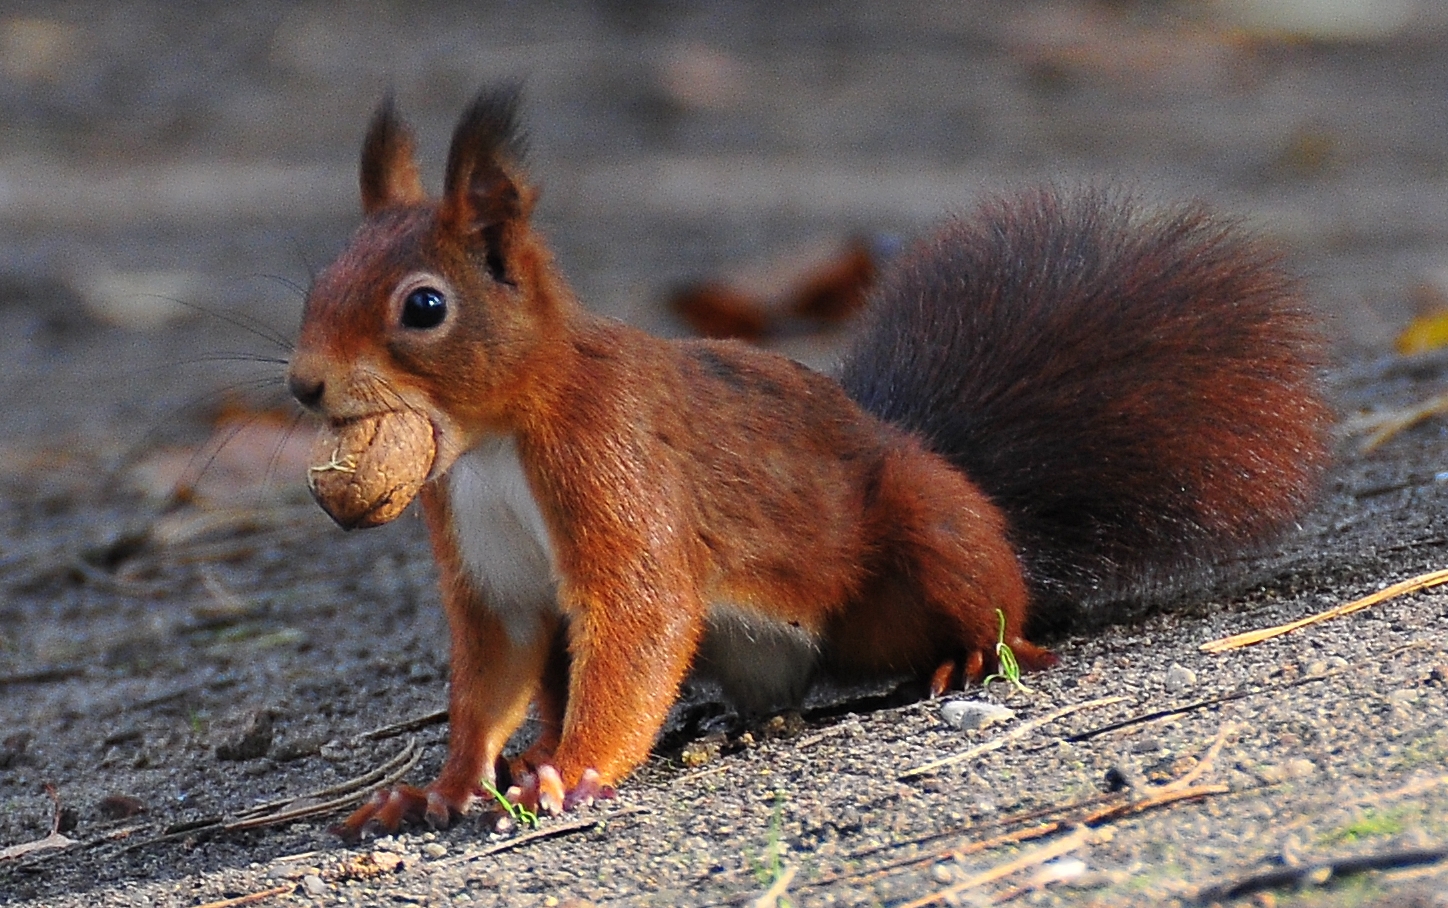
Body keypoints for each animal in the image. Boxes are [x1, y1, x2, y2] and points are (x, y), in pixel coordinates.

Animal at [285, 88, 1332, 839]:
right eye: (317, 281)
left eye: (424, 306)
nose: (301, 386)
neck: (494, 438)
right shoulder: (488, 564)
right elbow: (492, 671)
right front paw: (444, 787)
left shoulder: (612, 463)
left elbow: (640, 617)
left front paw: (573, 769)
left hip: (927, 530)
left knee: (1001, 603)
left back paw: (977, 652)